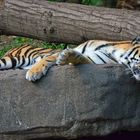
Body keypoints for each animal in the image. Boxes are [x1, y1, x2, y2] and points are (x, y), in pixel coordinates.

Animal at [0, 36, 140, 81]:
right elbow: (47, 59)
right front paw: (34, 73)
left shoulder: (94, 60)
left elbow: (81, 58)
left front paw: (68, 57)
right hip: (15, 59)